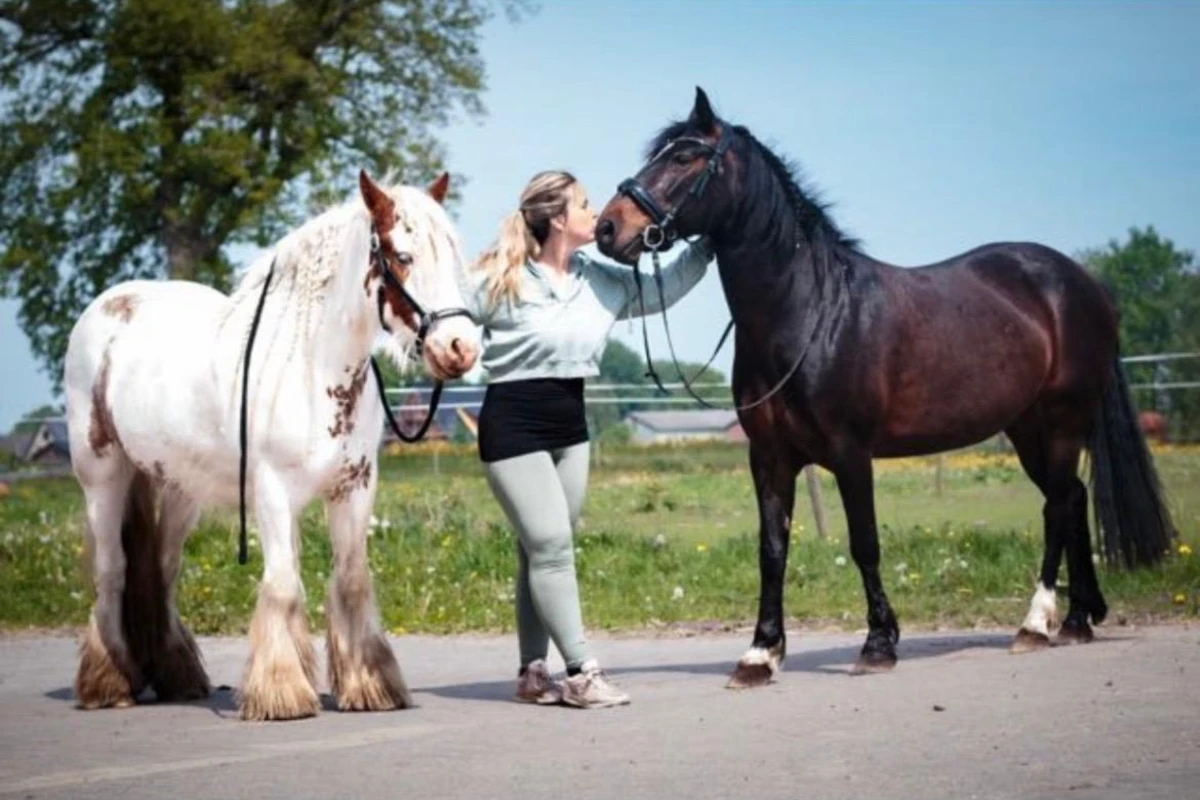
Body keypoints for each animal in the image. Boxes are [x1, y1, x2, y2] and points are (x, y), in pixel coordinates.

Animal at [63, 170, 480, 720]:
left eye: (451, 255)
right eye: (403, 256)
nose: (460, 349)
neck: (310, 365)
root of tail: (109, 308)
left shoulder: (355, 488)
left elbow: (351, 580)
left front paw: (370, 687)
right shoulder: (273, 492)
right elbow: (282, 585)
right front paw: (282, 692)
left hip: (178, 488)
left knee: (164, 571)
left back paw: (178, 677)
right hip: (102, 477)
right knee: (113, 571)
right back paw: (108, 684)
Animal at [595, 87, 1175, 686]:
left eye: (685, 157)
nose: (608, 228)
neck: (809, 311)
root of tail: (1086, 285)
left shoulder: (852, 453)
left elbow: (864, 544)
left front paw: (877, 644)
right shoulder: (769, 456)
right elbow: (772, 549)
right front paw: (760, 653)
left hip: (1062, 422)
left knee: (1058, 507)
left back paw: (1035, 625)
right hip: (1027, 430)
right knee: (1073, 497)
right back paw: (1079, 618)